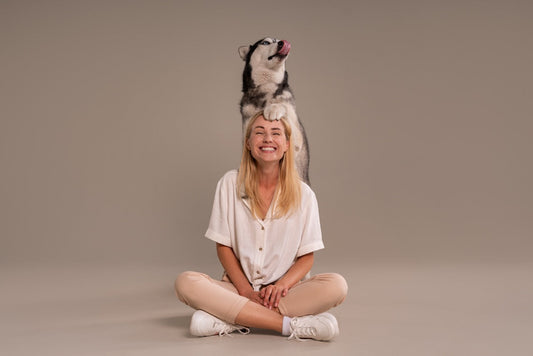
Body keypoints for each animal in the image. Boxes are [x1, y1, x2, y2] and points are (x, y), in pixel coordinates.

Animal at [238, 38, 310, 185]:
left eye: (277, 40)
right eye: (265, 43)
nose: (282, 43)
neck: (267, 87)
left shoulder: (296, 141)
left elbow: (282, 105)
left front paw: (274, 109)